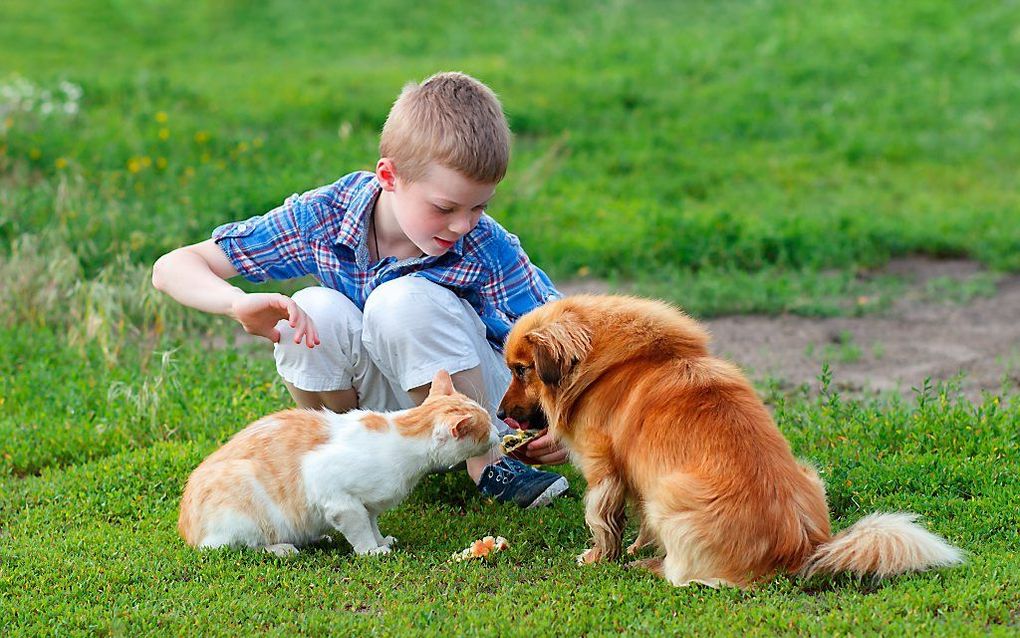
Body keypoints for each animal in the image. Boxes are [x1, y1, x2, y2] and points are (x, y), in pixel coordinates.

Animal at [179, 371, 497, 555]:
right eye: (486, 427)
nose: (497, 431)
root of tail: (187, 529)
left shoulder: (366, 504)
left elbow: (371, 523)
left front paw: (381, 541)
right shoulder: (334, 493)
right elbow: (360, 530)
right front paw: (371, 551)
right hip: (245, 510)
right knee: (237, 546)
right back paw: (283, 548)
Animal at [501, 296, 962, 583]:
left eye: (521, 370)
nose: (503, 413)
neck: (616, 366)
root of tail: (803, 547)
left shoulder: (605, 472)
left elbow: (602, 522)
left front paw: (600, 557)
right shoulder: (640, 476)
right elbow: (637, 522)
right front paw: (632, 548)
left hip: (671, 494)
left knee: (687, 577)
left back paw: (655, 567)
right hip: (806, 476)